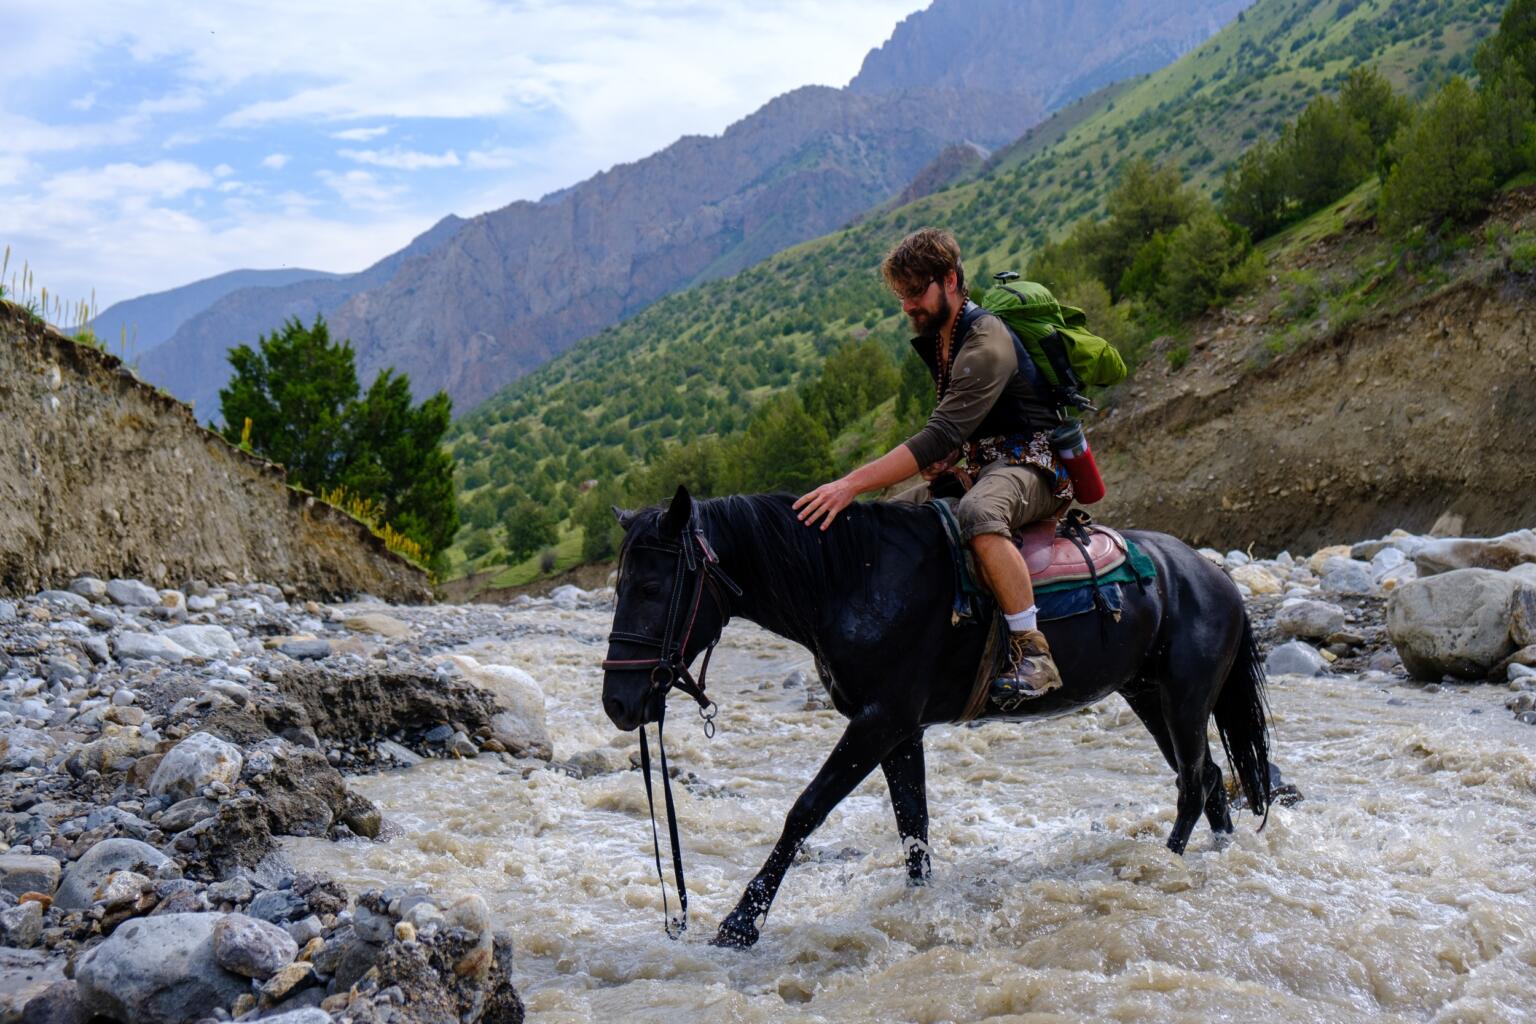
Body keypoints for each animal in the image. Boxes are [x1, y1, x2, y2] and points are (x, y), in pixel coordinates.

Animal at [602, 488, 1271, 951]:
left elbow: (806, 811)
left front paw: (740, 924)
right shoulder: (901, 731)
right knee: (1210, 776)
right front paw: (919, 910)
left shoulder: (878, 721)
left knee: (1192, 782)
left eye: (653, 587)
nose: (618, 703)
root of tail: (1214, 575)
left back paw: (1163, 864)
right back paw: (1215, 853)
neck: (852, 579)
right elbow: (912, 825)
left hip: (1184, 696)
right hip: (1146, 694)